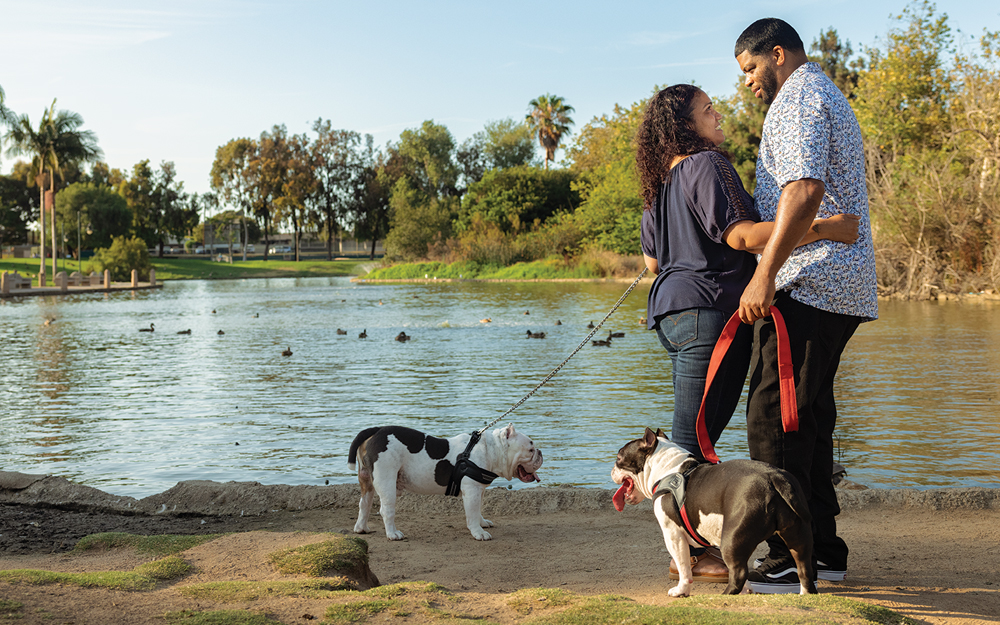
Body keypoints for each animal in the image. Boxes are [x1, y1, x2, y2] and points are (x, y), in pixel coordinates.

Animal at [348, 424, 544, 540]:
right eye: (530, 449)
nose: (540, 453)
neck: (491, 449)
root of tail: (376, 430)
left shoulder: (478, 490)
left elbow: (478, 509)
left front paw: (481, 522)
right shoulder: (472, 490)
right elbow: (472, 513)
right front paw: (478, 532)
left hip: (367, 481)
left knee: (364, 503)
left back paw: (361, 528)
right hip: (386, 480)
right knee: (386, 510)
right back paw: (393, 534)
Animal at [608, 428, 812, 596]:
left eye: (619, 458)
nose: (611, 469)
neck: (667, 469)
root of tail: (774, 478)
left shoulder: (673, 535)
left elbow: (683, 567)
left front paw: (681, 590)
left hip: (731, 539)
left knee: (739, 573)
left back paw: (726, 594)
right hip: (798, 535)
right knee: (804, 568)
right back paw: (805, 594)